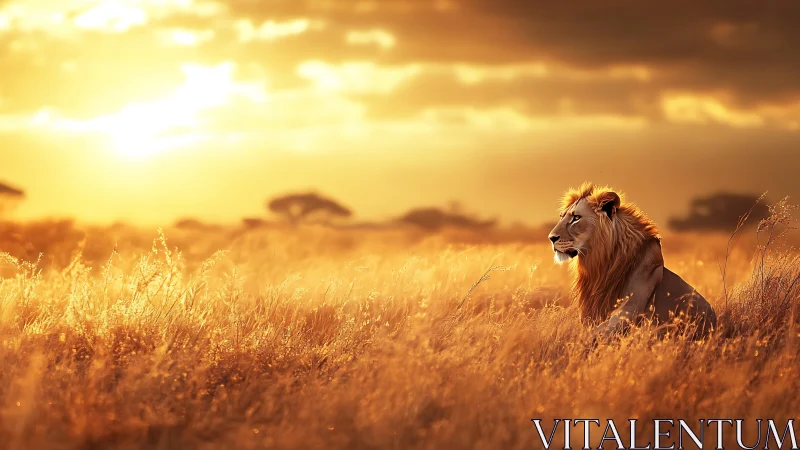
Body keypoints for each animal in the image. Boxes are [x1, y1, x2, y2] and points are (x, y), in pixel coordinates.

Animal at [548, 182, 717, 340]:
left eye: (576, 218)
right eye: (562, 216)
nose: (551, 238)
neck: (601, 261)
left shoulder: (630, 306)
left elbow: (592, 334)